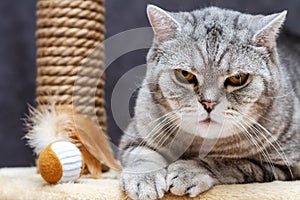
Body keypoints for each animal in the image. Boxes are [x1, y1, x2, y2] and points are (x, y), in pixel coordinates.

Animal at [118, 4, 298, 200]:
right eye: (185, 74)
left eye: (238, 78)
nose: (208, 103)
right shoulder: (134, 136)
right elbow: (143, 154)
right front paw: (144, 177)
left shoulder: (286, 165)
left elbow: (229, 162)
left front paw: (189, 170)